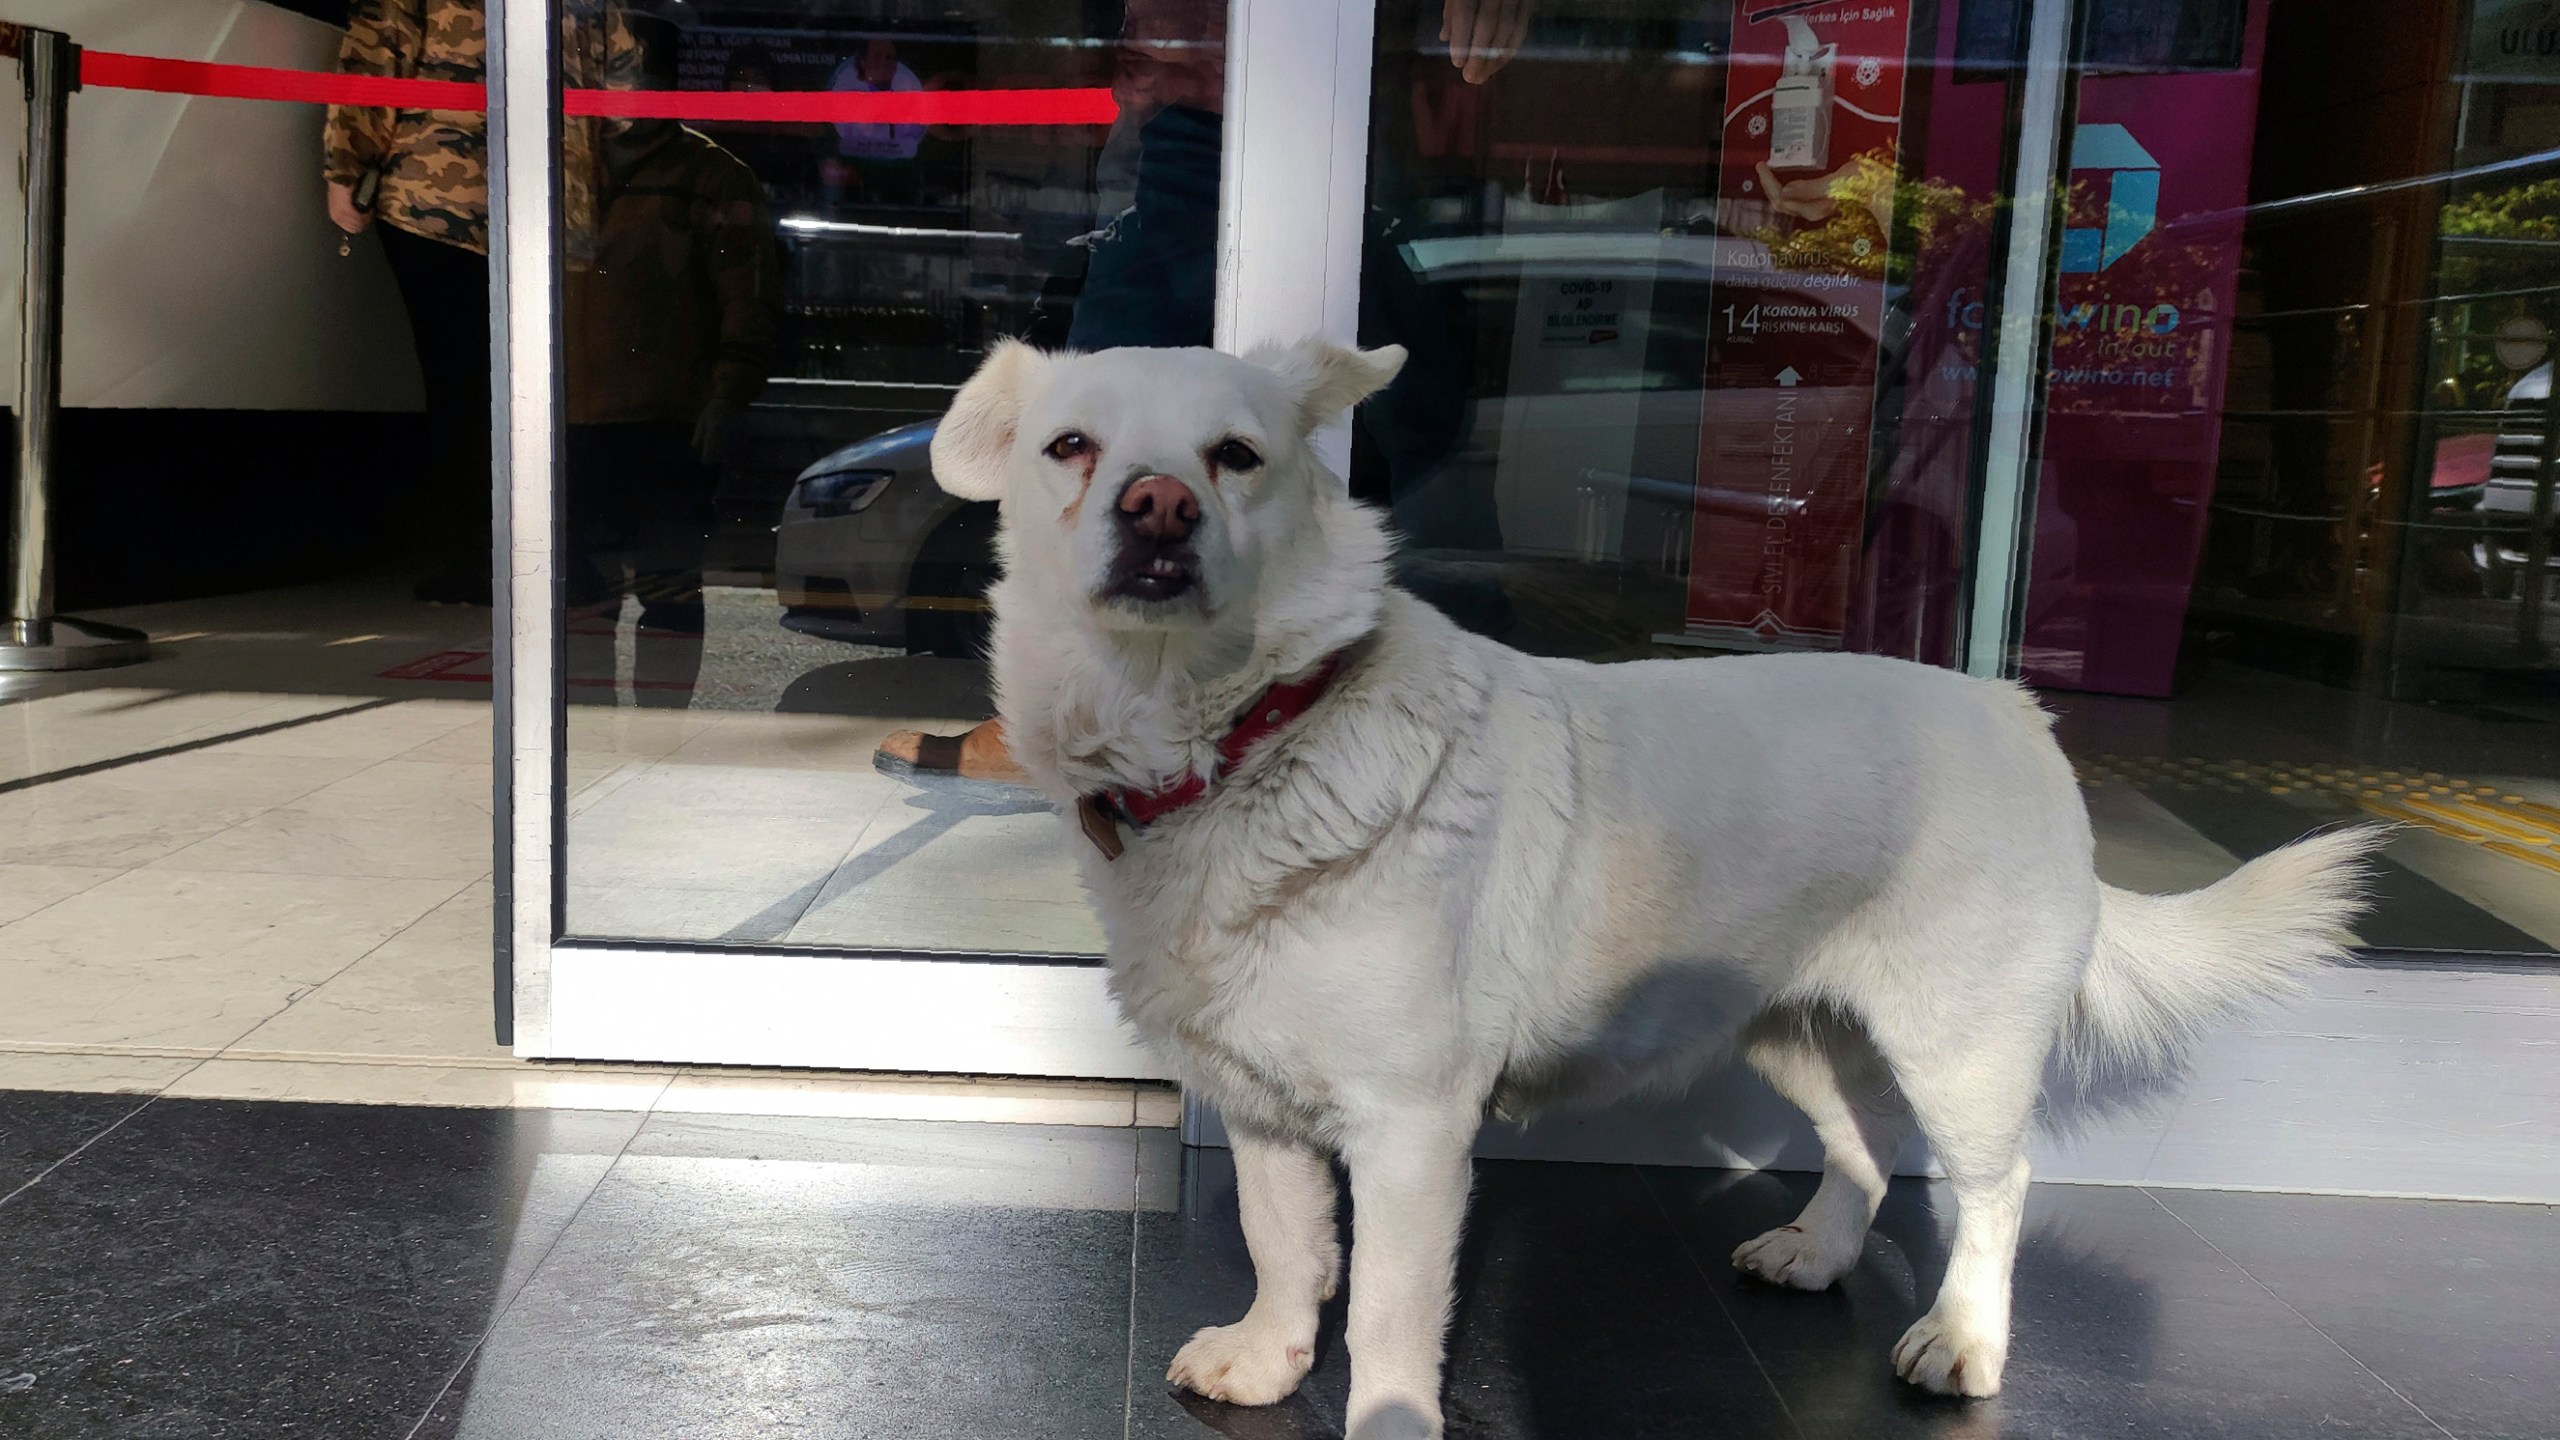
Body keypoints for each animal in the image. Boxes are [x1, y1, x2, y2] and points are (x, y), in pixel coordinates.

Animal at [936, 338, 2375, 1434]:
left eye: (1235, 457)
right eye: (1070, 448)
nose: (1157, 508)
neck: (1238, 738)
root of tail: (2018, 711)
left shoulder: (1411, 1127)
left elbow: (1391, 1312)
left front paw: (1386, 1418)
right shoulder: (1263, 1105)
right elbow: (1288, 1247)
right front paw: (1268, 1358)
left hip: (1958, 1042)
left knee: (1993, 1186)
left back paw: (1962, 1340)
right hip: (1792, 1025)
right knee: (1865, 1146)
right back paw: (1816, 1251)